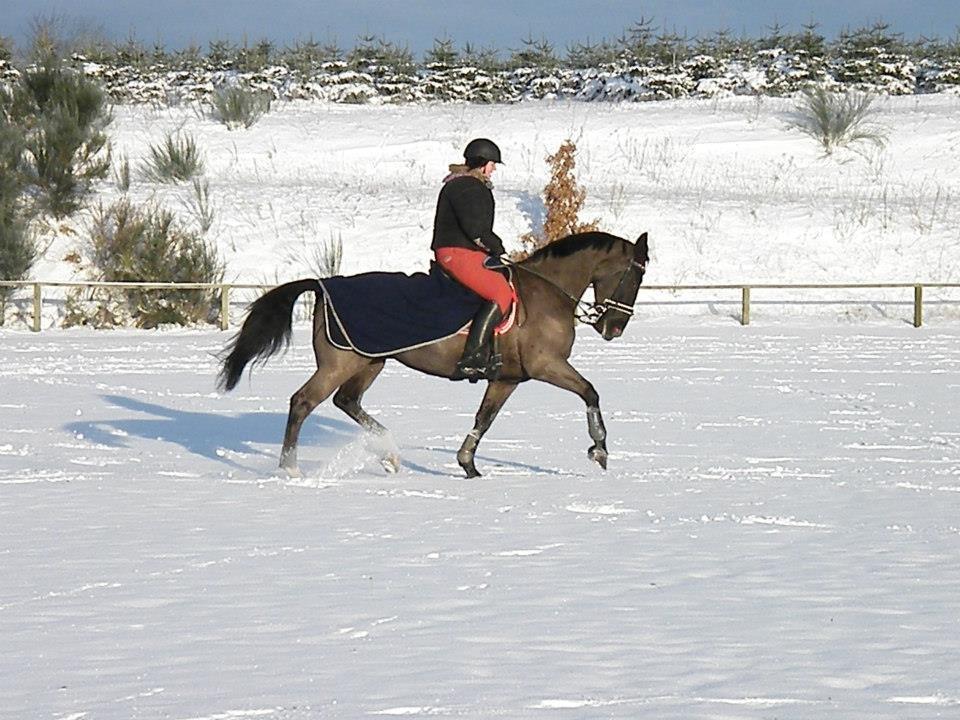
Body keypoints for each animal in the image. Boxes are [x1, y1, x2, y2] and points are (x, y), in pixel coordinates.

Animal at [219, 232, 652, 478]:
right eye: (636, 274)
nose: (615, 328)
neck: (547, 292)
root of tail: (324, 285)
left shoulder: (508, 378)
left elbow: (484, 419)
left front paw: (468, 465)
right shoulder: (548, 366)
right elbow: (590, 392)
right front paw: (600, 450)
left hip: (370, 360)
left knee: (347, 401)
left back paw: (389, 455)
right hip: (341, 363)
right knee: (303, 402)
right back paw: (290, 469)